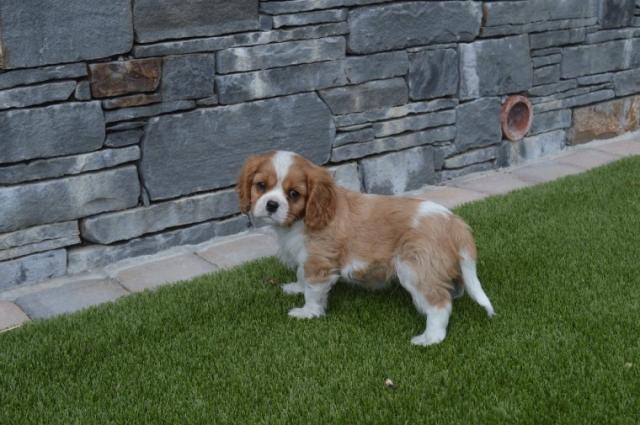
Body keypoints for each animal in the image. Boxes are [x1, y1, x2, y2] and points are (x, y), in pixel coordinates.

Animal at [238, 149, 492, 344]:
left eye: (293, 194)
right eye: (261, 186)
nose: (271, 205)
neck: (302, 219)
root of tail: (453, 221)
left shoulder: (319, 262)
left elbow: (313, 291)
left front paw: (307, 313)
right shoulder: (306, 258)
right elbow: (302, 276)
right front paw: (296, 288)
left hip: (416, 267)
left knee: (439, 304)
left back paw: (430, 338)